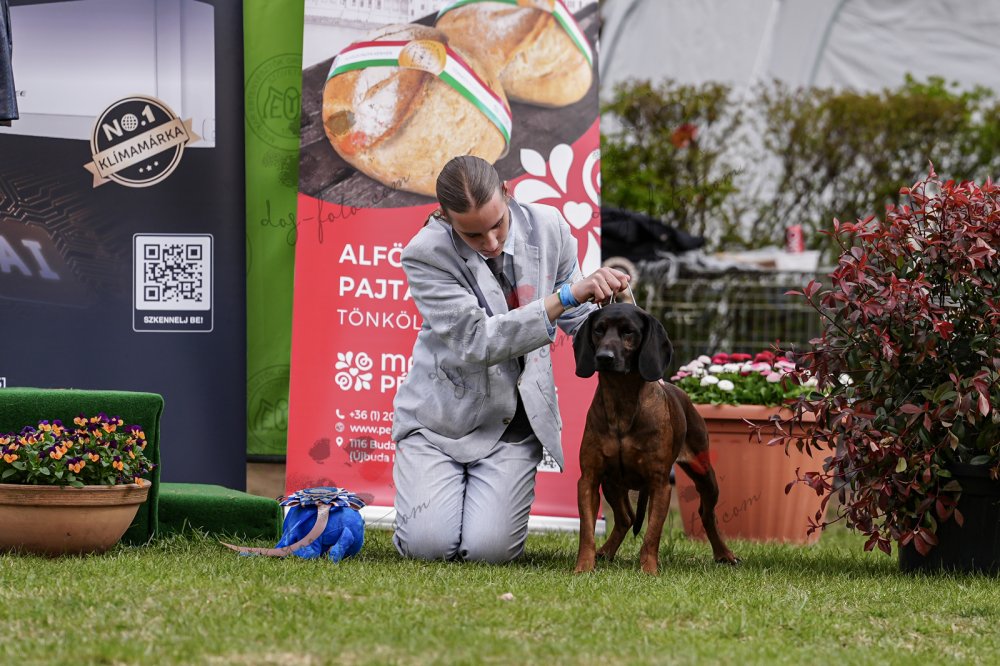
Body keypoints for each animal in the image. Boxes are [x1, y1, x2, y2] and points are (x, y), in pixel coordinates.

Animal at [572, 303, 738, 574]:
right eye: (598, 330)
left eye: (628, 332)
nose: (604, 357)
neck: (622, 400)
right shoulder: (590, 478)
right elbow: (587, 531)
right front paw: (584, 567)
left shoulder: (660, 483)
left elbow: (652, 534)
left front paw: (649, 570)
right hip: (611, 482)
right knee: (626, 518)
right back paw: (606, 551)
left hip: (705, 474)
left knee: (707, 514)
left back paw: (724, 554)